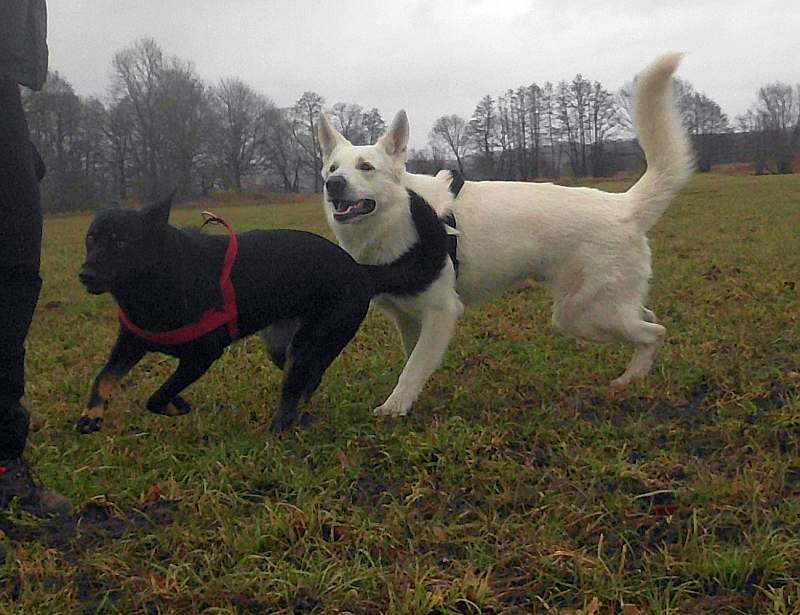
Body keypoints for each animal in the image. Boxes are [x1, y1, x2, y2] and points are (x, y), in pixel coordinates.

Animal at [77, 191, 446, 434]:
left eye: (121, 242)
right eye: (90, 240)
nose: (85, 275)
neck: (161, 275)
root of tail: (359, 270)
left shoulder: (202, 355)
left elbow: (157, 394)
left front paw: (174, 404)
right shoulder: (130, 343)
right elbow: (103, 376)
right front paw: (91, 415)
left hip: (311, 340)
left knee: (296, 388)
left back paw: (276, 431)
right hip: (283, 346)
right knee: (308, 379)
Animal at [316, 54, 692, 418]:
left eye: (366, 167)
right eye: (333, 169)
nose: (333, 185)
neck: (400, 215)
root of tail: (624, 205)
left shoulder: (441, 312)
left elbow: (413, 369)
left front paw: (394, 409)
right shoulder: (408, 318)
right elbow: (415, 362)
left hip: (581, 315)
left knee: (654, 333)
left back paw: (630, 380)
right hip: (601, 309)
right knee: (648, 319)